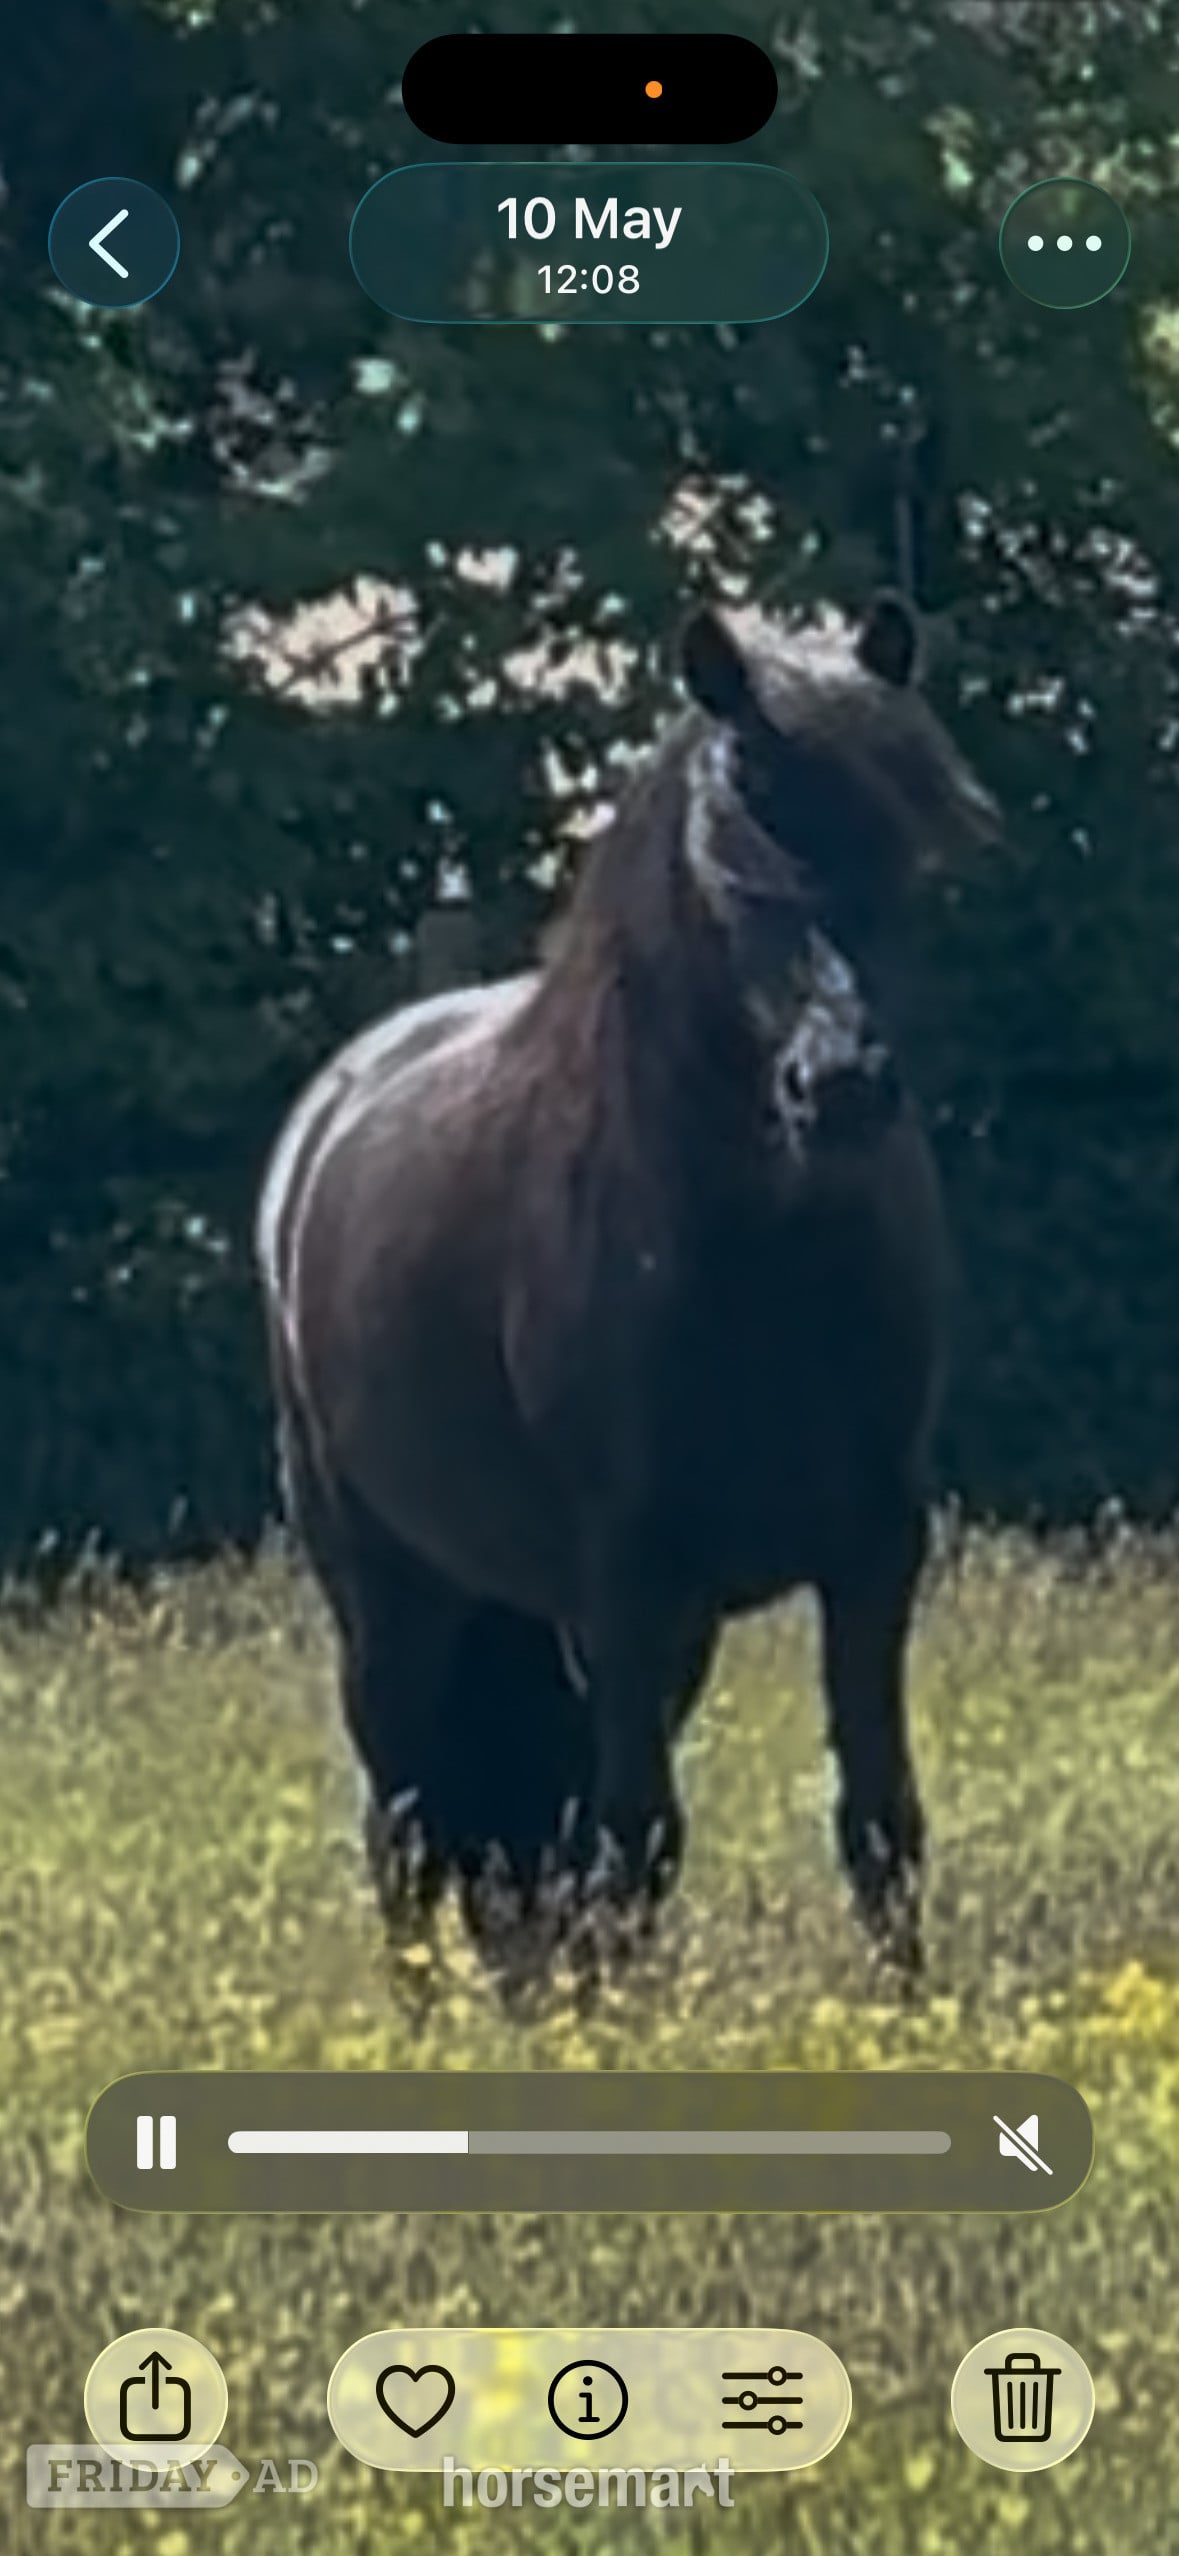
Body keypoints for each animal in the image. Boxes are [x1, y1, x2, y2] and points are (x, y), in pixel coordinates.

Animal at [256, 592, 998, 1976]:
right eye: (732, 841)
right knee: (406, 1831)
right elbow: (637, 1842)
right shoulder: (626, 1577)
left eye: (904, 838)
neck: (762, 1260)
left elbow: (880, 1824)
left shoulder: (872, 1554)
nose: (841, 1086)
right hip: (391, 1595)